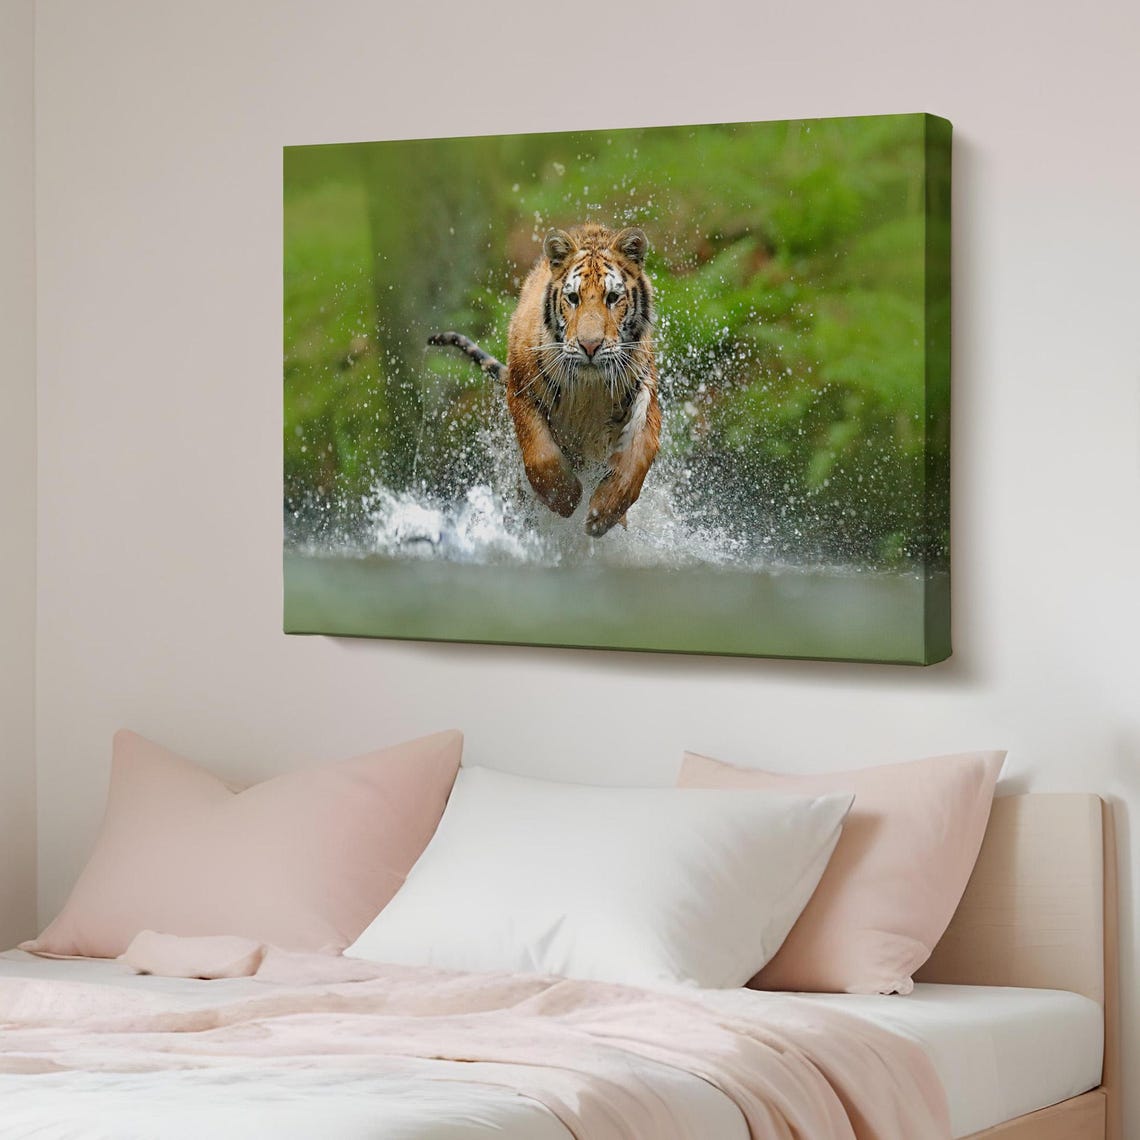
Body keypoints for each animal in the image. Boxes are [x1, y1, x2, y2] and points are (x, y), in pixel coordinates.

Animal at [428, 223, 661, 537]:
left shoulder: (644, 389)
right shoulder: (521, 390)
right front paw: (566, 498)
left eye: (612, 298)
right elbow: (541, 454)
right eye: (573, 298)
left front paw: (603, 514)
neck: (589, 387)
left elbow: (638, 455)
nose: (590, 346)